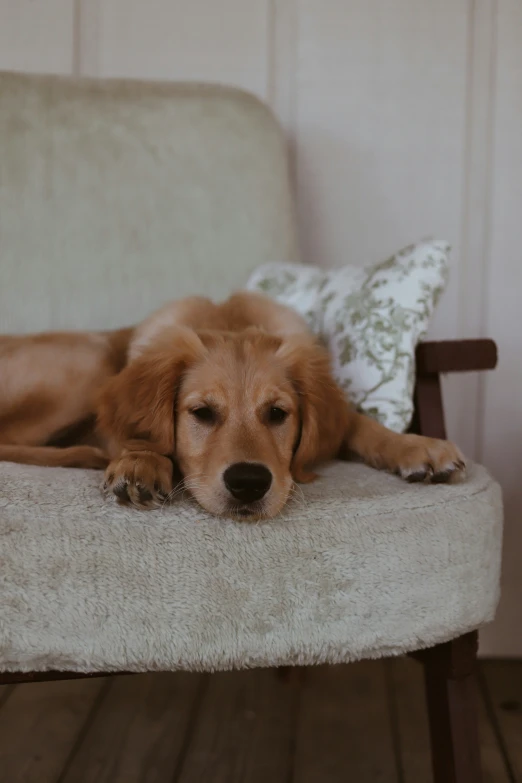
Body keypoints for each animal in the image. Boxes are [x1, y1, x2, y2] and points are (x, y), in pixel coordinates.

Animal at [0, 294, 464, 520]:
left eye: (277, 414)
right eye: (202, 413)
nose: (248, 484)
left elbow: (361, 424)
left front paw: (417, 446)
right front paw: (141, 462)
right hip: (91, 359)